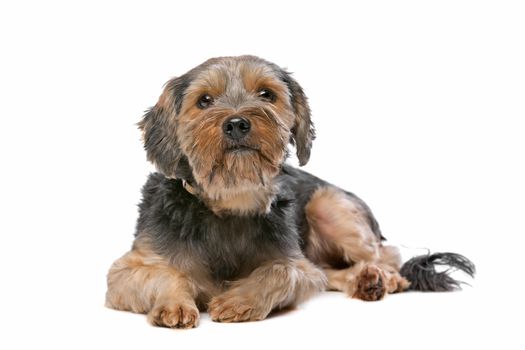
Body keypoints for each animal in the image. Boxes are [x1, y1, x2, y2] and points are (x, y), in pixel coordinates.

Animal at [104, 54, 472, 328]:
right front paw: (175, 304)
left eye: (267, 94)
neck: (227, 200)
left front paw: (239, 300)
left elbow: (282, 271)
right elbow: (167, 275)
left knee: (387, 254)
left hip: (328, 204)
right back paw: (366, 281)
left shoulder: (296, 265)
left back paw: (385, 277)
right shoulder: (127, 272)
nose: (236, 123)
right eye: (204, 101)